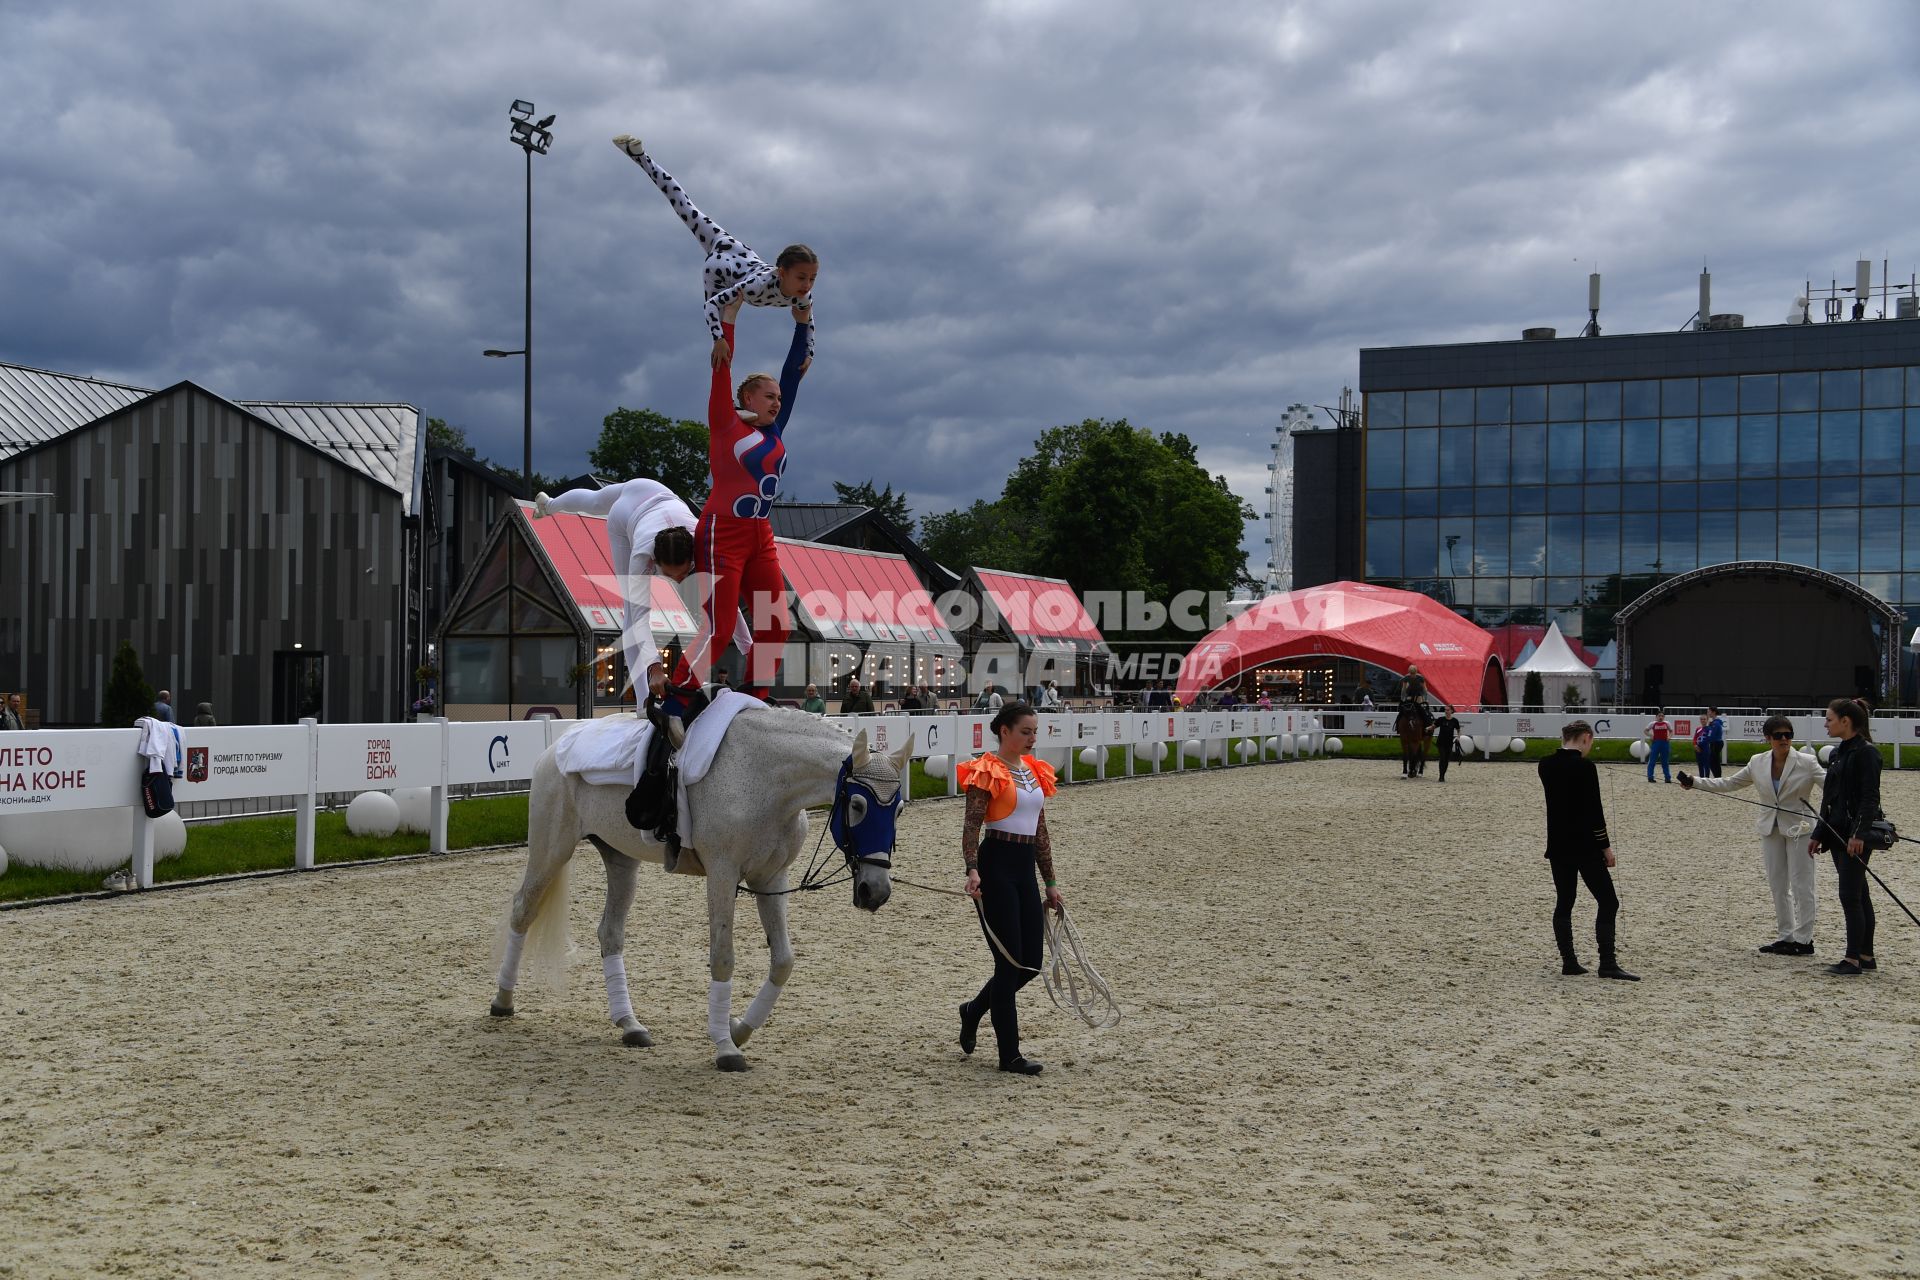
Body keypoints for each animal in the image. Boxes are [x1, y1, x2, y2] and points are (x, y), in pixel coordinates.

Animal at [487, 710, 906, 1074]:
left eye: (899, 809)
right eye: (858, 804)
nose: (875, 891)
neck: (764, 776)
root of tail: (558, 747)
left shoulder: (771, 879)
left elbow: (783, 961)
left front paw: (739, 1030)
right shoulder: (721, 875)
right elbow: (723, 958)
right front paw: (725, 1047)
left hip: (621, 862)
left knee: (610, 933)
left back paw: (629, 1024)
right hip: (551, 850)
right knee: (522, 911)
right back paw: (502, 1001)